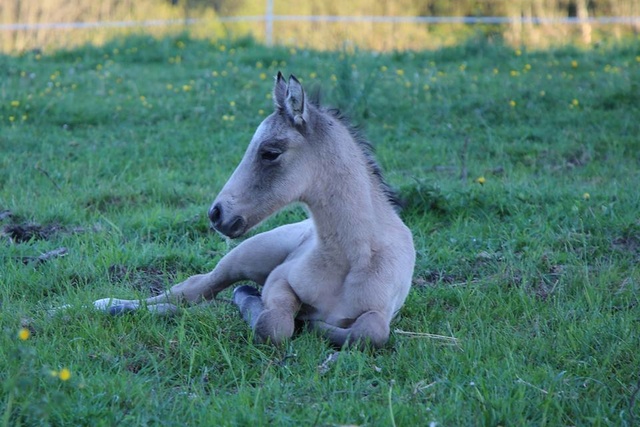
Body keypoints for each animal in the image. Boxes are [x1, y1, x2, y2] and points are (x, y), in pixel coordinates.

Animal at [94, 72, 416, 348]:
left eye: (270, 152)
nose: (216, 214)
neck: (351, 259)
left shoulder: (380, 311)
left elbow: (370, 333)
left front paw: (312, 324)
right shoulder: (279, 280)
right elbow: (272, 324)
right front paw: (279, 313)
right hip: (246, 256)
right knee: (193, 290)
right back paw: (108, 306)